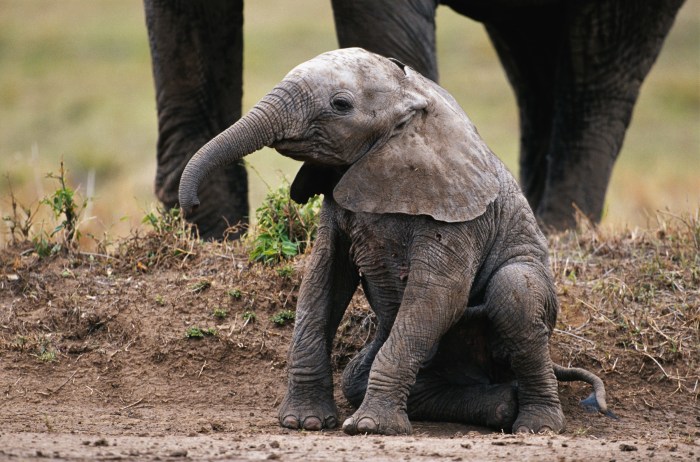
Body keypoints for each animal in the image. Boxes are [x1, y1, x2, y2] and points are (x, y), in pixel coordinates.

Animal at [178, 47, 608, 436]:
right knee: (357, 377)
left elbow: (438, 295)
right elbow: (322, 283)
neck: (411, 99)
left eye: (340, 105)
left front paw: (369, 427)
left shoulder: (460, 214)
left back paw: (537, 425)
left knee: (513, 290)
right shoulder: (338, 202)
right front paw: (304, 423)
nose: (190, 205)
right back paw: (501, 406)